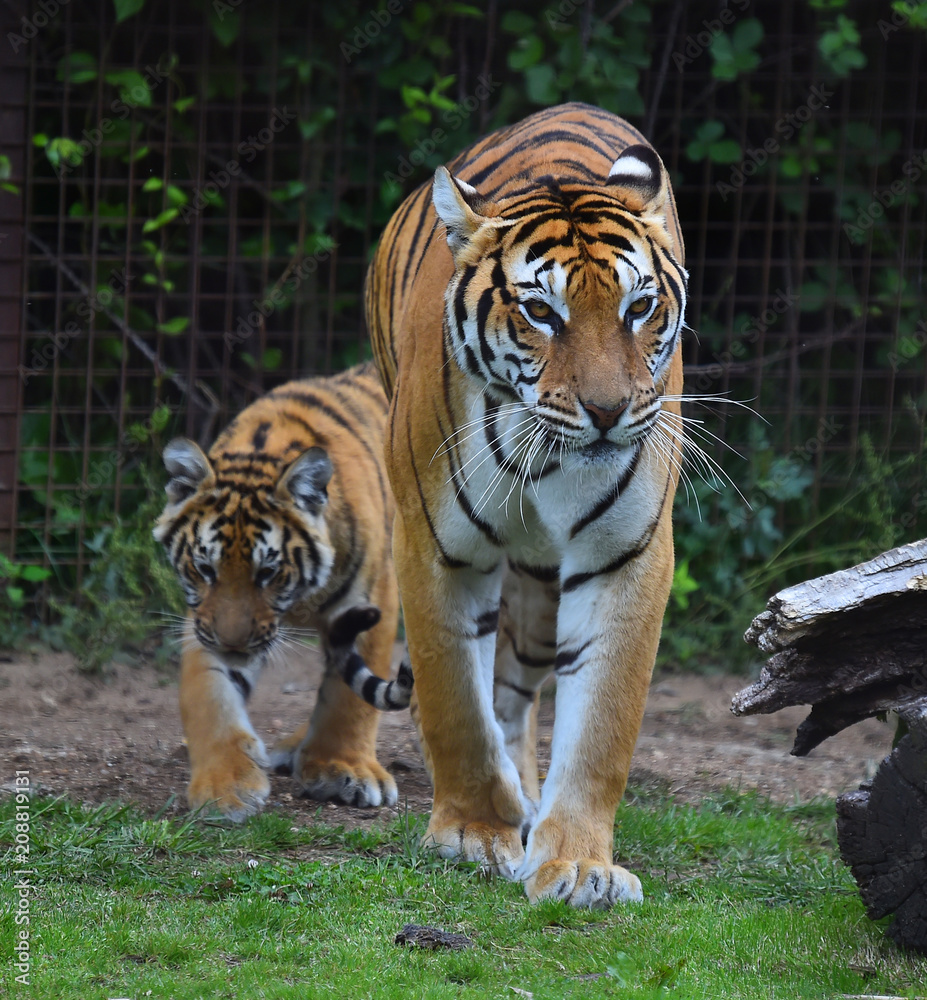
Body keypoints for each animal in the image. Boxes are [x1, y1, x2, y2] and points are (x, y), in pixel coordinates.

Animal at [153, 362, 411, 821]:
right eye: (205, 569)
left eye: (268, 573)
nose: (233, 644)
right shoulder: (203, 621)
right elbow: (209, 697)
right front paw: (224, 787)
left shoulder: (374, 598)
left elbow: (348, 701)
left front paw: (340, 769)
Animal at [365, 103, 687, 907]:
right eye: (541, 311)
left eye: (640, 306)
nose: (607, 411)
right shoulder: (435, 550)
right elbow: (454, 702)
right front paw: (472, 833)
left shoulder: (624, 556)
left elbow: (600, 725)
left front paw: (576, 864)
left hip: (543, 598)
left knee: (514, 692)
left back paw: (529, 804)